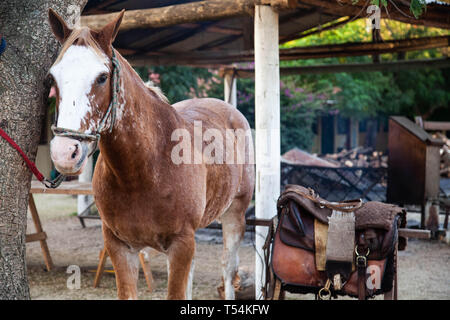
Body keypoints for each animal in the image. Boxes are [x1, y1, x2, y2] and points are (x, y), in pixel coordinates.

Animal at [47, 10, 255, 300]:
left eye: (102, 77)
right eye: (53, 78)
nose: (65, 152)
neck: (142, 170)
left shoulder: (181, 244)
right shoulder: (120, 247)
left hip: (235, 213)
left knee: (228, 268)